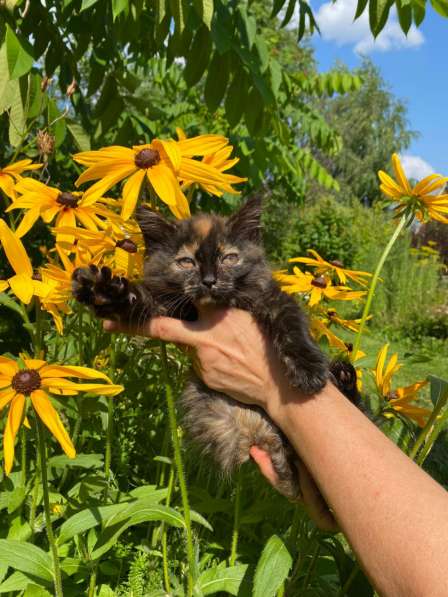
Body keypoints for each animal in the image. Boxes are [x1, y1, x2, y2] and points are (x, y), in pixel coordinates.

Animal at [72, 198, 356, 500]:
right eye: (186, 262)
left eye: (228, 258)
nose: (209, 280)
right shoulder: (165, 303)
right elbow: (137, 298)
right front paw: (103, 290)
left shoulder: (273, 298)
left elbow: (292, 325)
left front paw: (308, 370)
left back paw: (344, 378)